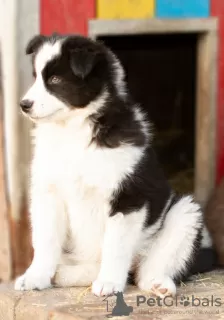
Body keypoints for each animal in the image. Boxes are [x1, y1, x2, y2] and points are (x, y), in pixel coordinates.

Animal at [14, 33, 203, 296]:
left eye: (55, 79)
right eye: (35, 78)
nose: (24, 104)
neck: (73, 129)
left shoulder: (127, 197)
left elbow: (116, 246)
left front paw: (110, 283)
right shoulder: (48, 192)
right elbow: (45, 240)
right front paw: (35, 277)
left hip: (186, 212)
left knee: (147, 267)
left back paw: (158, 283)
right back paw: (63, 275)